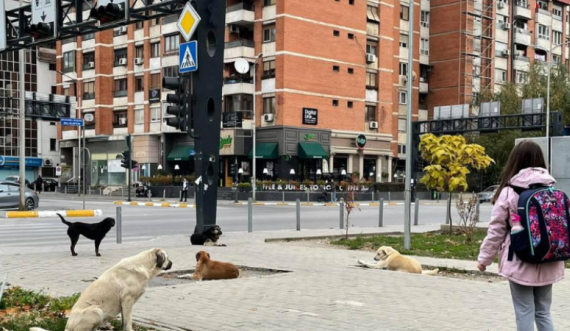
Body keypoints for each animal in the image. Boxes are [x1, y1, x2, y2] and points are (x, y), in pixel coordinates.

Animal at [30, 249, 172, 331]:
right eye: (167, 257)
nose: (172, 263)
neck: (143, 265)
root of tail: (67, 328)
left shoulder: (124, 304)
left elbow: (124, 322)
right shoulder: (127, 301)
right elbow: (128, 323)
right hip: (96, 310)